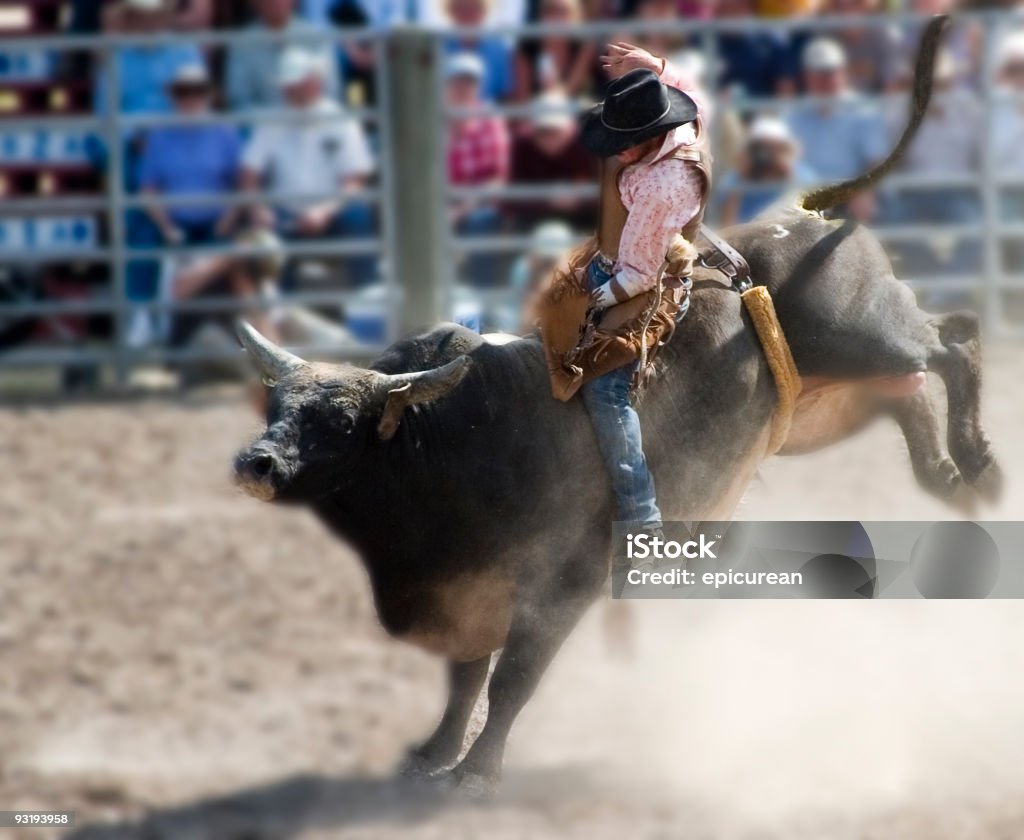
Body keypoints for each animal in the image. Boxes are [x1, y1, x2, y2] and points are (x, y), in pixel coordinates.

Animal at [232, 18, 999, 794]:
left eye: (341, 422)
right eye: (276, 404)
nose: (255, 463)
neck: (449, 446)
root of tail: (808, 215)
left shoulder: (560, 587)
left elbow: (512, 679)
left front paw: (478, 770)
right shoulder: (468, 593)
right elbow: (465, 679)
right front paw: (433, 751)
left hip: (868, 334)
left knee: (955, 341)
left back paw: (979, 465)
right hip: (828, 399)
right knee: (916, 393)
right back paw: (948, 480)